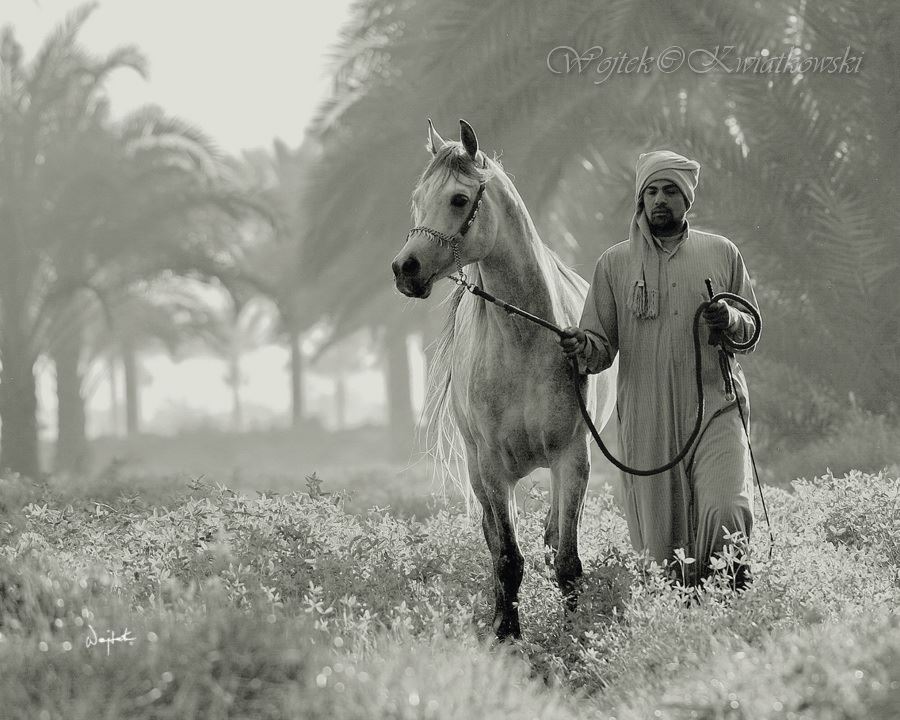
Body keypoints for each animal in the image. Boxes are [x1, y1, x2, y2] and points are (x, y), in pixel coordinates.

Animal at [390, 119, 616, 640]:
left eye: (458, 199)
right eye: (416, 198)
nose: (404, 269)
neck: (524, 340)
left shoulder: (572, 458)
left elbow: (567, 560)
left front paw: (575, 633)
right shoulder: (491, 468)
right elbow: (507, 558)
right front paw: (507, 634)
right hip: (479, 469)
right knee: (496, 542)